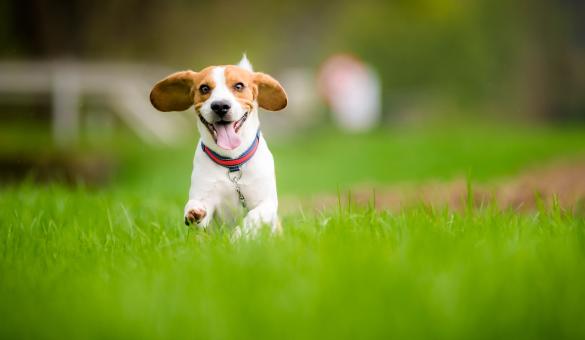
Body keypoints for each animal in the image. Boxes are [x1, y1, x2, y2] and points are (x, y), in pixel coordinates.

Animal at [151, 56, 288, 236]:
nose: (220, 106)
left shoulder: (267, 203)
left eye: (239, 86)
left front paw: (237, 236)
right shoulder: (207, 200)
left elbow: (253, 217)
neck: (232, 162)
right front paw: (193, 211)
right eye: (204, 88)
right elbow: (196, 208)